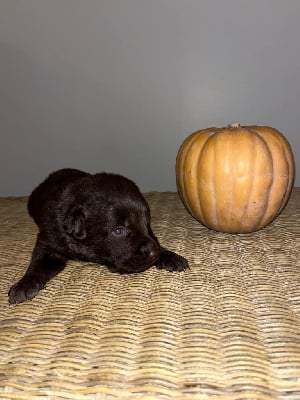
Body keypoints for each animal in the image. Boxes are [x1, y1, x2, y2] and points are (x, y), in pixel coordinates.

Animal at [8, 169, 189, 304]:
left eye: (146, 223)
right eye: (119, 230)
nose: (153, 253)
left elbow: (155, 240)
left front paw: (170, 255)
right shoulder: (48, 242)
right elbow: (38, 265)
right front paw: (24, 285)